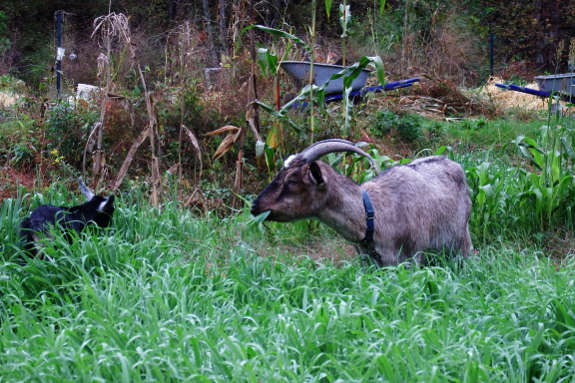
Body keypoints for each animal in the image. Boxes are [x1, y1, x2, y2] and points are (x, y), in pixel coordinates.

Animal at [252, 140, 472, 268]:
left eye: (292, 180)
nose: (255, 206)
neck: (373, 216)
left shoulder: (412, 258)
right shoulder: (369, 263)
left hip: (461, 242)